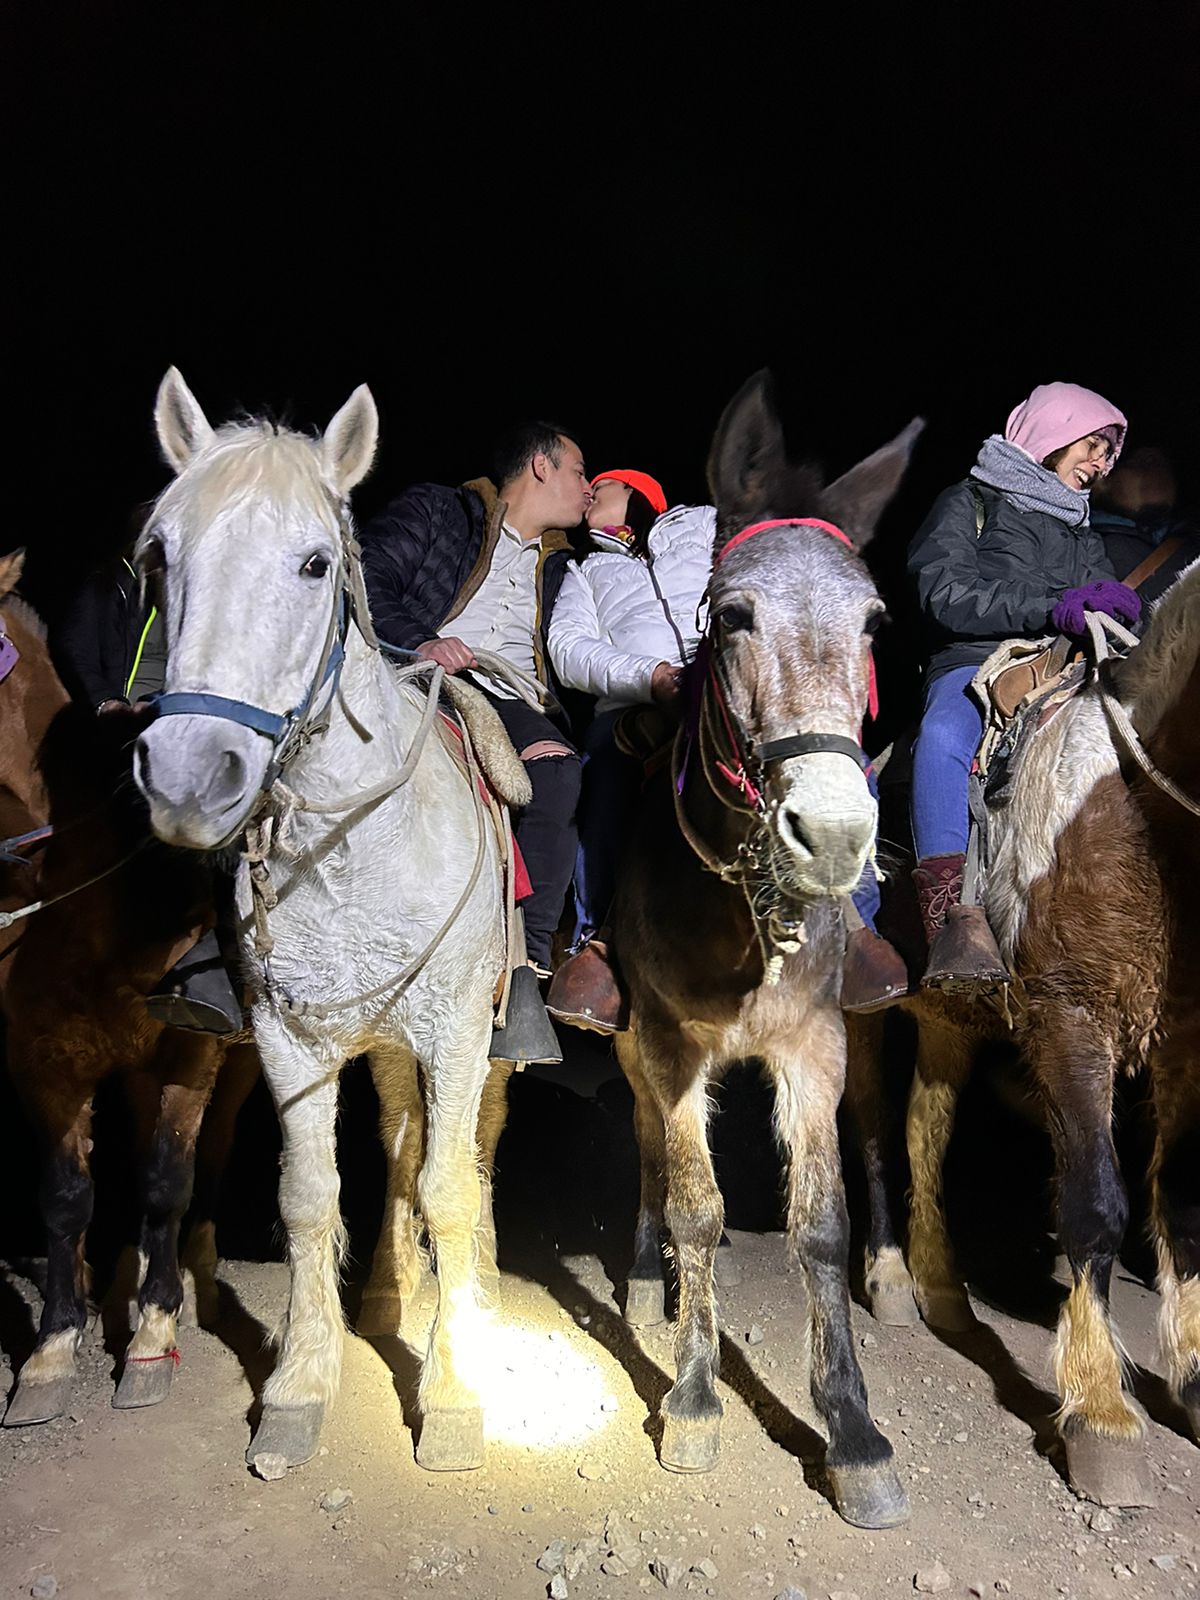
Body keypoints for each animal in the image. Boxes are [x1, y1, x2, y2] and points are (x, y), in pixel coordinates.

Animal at [1, 553, 256, 1427]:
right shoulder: (43, 1059)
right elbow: (65, 1195)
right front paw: (50, 1348)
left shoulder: (190, 1048)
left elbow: (168, 1180)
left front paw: (151, 1334)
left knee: (210, 1152)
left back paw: (189, 1266)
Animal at [133, 366, 524, 1472]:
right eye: (162, 555)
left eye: (315, 563)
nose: (190, 775)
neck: (355, 852)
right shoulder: (286, 1037)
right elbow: (309, 1197)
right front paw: (301, 1386)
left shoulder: (452, 1031)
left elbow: (449, 1188)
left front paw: (455, 1394)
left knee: (467, 1158)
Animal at [614, 371, 928, 1523]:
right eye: (735, 615)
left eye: (874, 621)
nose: (832, 834)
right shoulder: (671, 1045)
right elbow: (701, 1211)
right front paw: (698, 1397)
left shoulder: (817, 1047)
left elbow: (822, 1226)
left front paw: (854, 1428)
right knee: (647, 1143)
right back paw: (646, 1270)